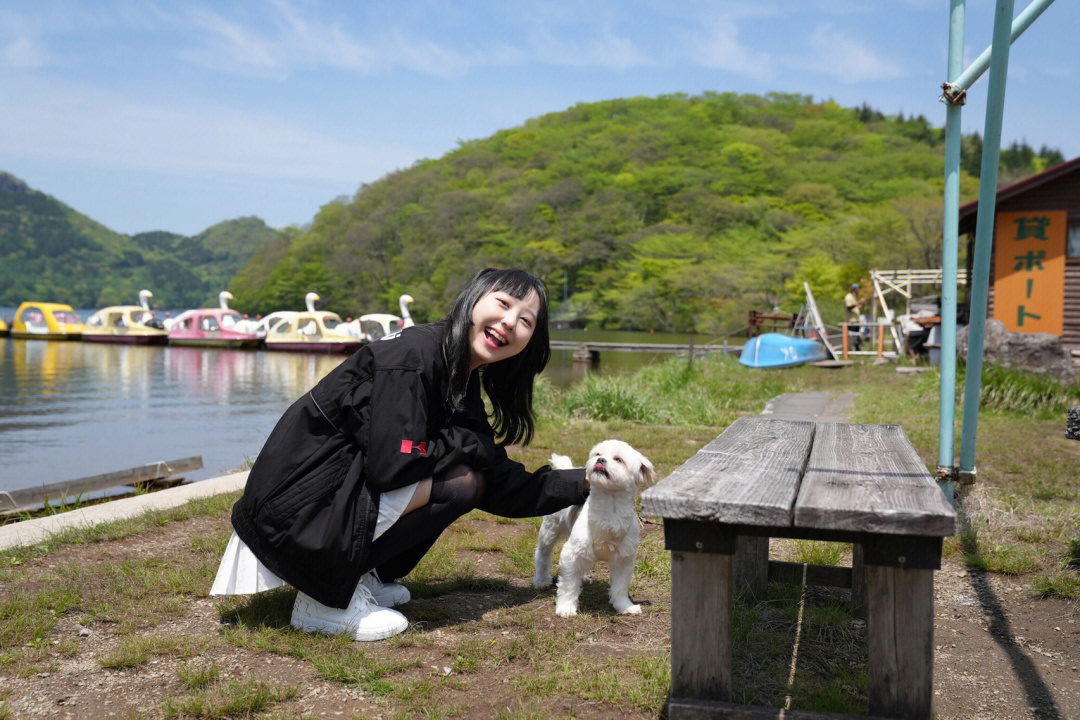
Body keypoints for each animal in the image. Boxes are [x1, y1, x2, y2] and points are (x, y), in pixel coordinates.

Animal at [529, 440, 648, 621]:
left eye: (618, 459)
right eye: (597, 454)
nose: (600, 460)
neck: (610, 509)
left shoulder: (624, 559)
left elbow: (620, 587)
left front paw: (625, 606)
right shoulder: (571, 553)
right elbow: (568, 584)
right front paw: (566, 607)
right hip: (550, 531)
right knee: (543, 555)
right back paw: (541, 580)